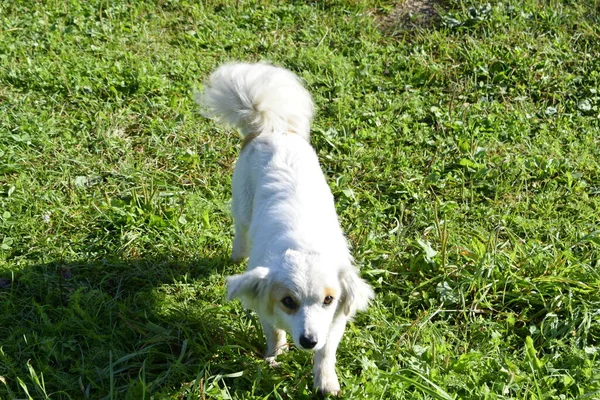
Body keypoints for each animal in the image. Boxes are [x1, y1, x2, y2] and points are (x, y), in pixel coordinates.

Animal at [197, 62, 372, 396]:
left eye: (328, 300)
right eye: (288, 301)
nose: (308, 340)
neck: (303, 245)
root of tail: (269, 129)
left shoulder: (334, 321)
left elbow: (327, 352)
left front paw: (326, 382)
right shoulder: (265, 305)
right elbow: (274, 334)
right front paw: (274, 359)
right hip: (242, 204)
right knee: (240, 230)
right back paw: (236, 255)